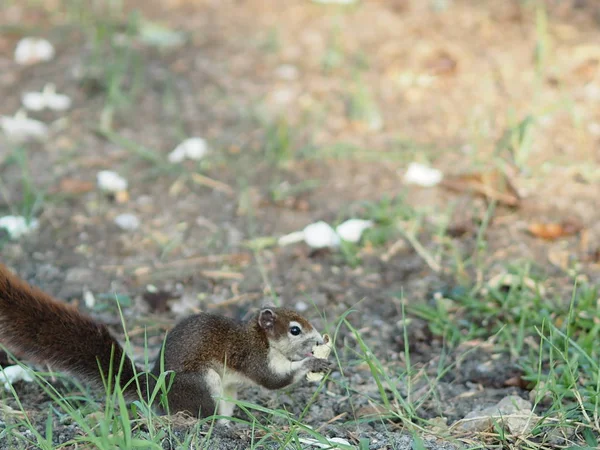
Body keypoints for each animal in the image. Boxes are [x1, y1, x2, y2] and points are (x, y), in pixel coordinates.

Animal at [0, 262, 332, 420]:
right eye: (295, 330)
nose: (318, 339)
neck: (261, 338)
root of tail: (154, 392)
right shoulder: (251, 355)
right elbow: (273, 381)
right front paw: (312, 363)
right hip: (202, 384)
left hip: (225, 393)